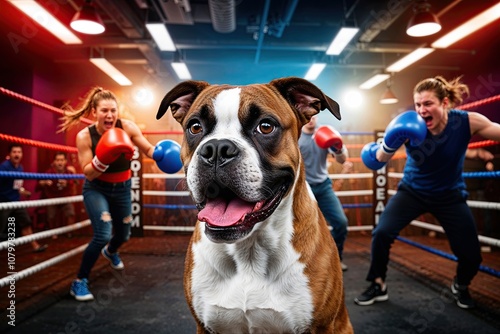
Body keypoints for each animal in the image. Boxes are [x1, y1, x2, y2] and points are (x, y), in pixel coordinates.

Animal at [156, 77, 352, 332]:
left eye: (266, 126)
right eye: (195, 127)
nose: (217, 148)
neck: (249, 249)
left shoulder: (322, 326)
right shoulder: (204, 326)